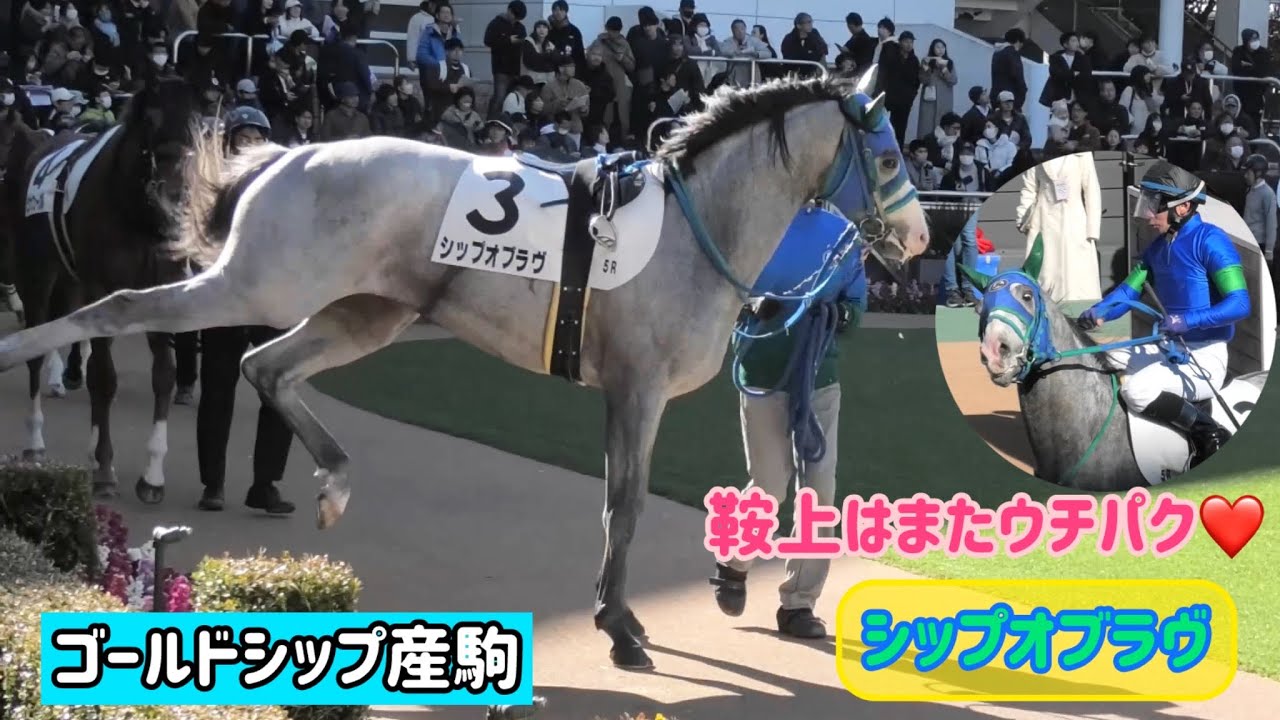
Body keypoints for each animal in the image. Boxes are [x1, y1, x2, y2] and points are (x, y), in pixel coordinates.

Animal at [2, 73, 202, 501]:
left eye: (197, 129)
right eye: (150, 127)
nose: (175, 196)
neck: (138, 215)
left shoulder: (160, 288)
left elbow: (164, 374)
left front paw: (152, 475)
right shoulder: (99, 286)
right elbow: (103, 377)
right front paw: (105, 469)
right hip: (36, 274)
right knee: (36, 350)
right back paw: (36, 441)